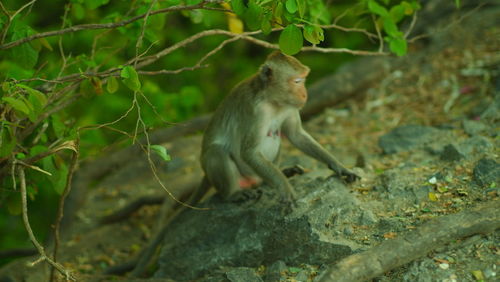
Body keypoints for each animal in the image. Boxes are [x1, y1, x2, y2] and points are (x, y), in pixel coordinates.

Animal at [122, 51, 360, 278]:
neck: (273, 101)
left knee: (277, 138)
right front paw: (284, 188)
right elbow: (249, 151)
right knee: (218, 153)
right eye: (297, 81)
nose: (305, 94)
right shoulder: (255, 110)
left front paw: (340, 167)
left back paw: (276, 177)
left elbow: (296, 135)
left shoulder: (290, 108)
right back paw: (234, 194)